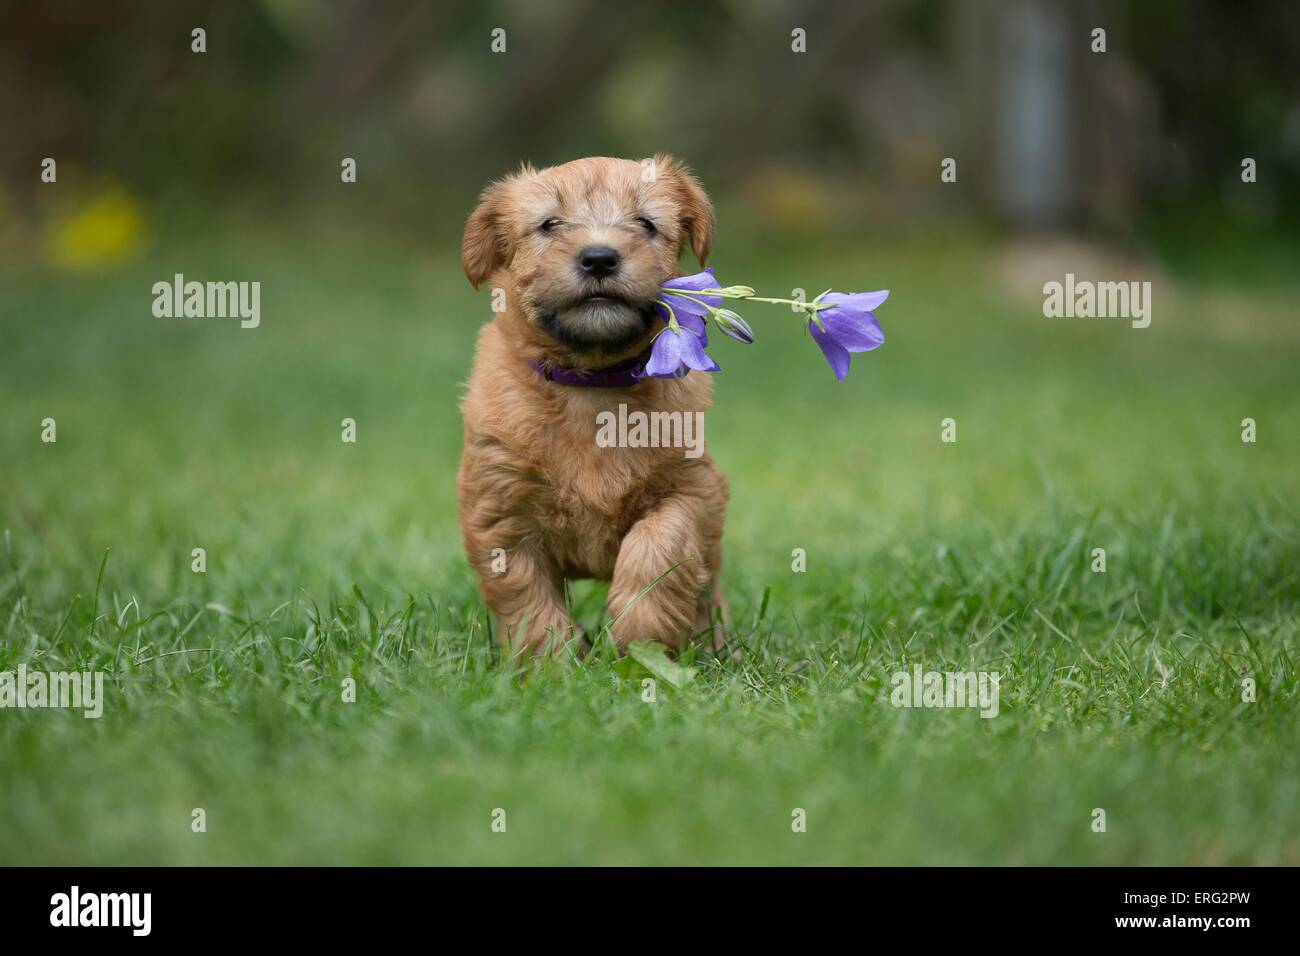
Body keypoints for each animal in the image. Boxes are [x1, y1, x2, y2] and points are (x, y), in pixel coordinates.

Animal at [457, 157, 728, 660]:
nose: (600, 257)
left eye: (645, 223)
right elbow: (527, 597)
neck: (592, 385)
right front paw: (551, 664)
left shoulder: (690, 488)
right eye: (550, 224)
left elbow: (656, 549)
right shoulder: (502, 511)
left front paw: (639, 639)